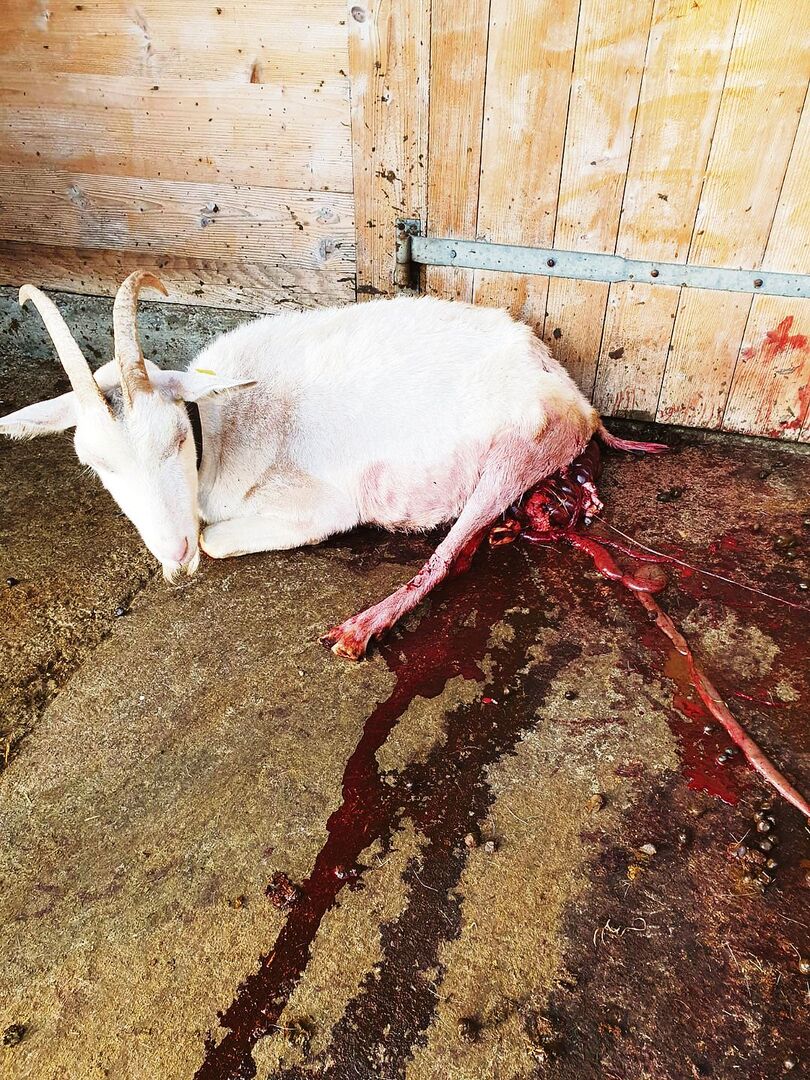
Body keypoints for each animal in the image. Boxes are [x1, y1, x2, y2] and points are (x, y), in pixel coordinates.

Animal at [0, 272, 663, 658]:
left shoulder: (316, 506)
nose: (174, 557)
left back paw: (360, 629)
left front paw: (203, 545)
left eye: (176, 441)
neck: (221, 423)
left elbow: (219, 539)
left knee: (448, 558)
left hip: (517, 449)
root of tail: (577, 399)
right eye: (97, 466)